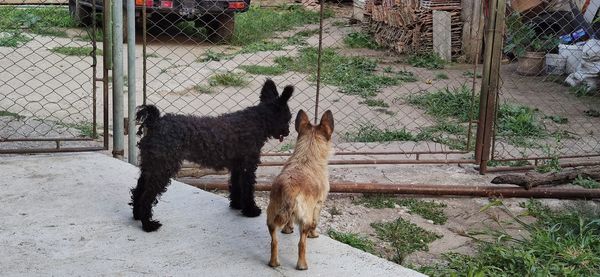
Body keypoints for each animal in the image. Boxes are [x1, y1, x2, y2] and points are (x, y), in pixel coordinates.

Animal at [130, 79, 294, 231]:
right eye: (288, 118)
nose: (287, 132)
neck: (257, 121)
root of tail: (156, 122)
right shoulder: (248, 166)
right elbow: (247, 188)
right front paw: (250, 210)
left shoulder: (237, 166)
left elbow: (236, 185)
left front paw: (236, 205)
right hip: (162, 169)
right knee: (146, 196)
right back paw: (148, 224)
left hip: (151, 167)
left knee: (138, 191)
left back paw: (137, 215)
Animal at [266, 109, 332, 268]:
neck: (307, 155)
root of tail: (289, 188)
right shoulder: (318, 205)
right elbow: (315, 222)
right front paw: (314, 235)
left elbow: (289, 221)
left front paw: (287, 229)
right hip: (305, 221)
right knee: (301, 244)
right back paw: (302, 265)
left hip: (271, 219)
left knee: (274, 242)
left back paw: (274, 262)